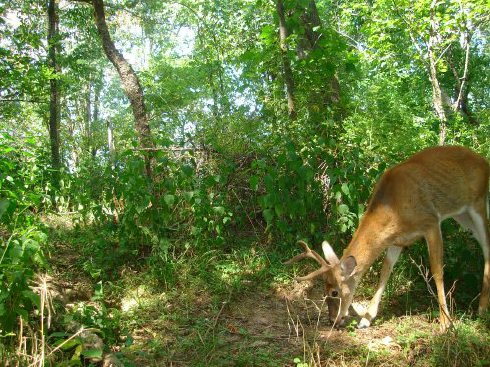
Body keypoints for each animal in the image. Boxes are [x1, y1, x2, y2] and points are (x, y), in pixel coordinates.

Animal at [286, 146, 488, 330]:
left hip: (478, 203)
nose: (332, 321)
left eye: (334, 292)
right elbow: (385, 271)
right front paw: (366, 319)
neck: (394, 209)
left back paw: (482, 309)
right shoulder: (396, 240)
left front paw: (446, 322)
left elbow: (437, 271)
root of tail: (484, 160)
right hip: (462, 215)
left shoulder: (431, 222)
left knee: (487, 247)